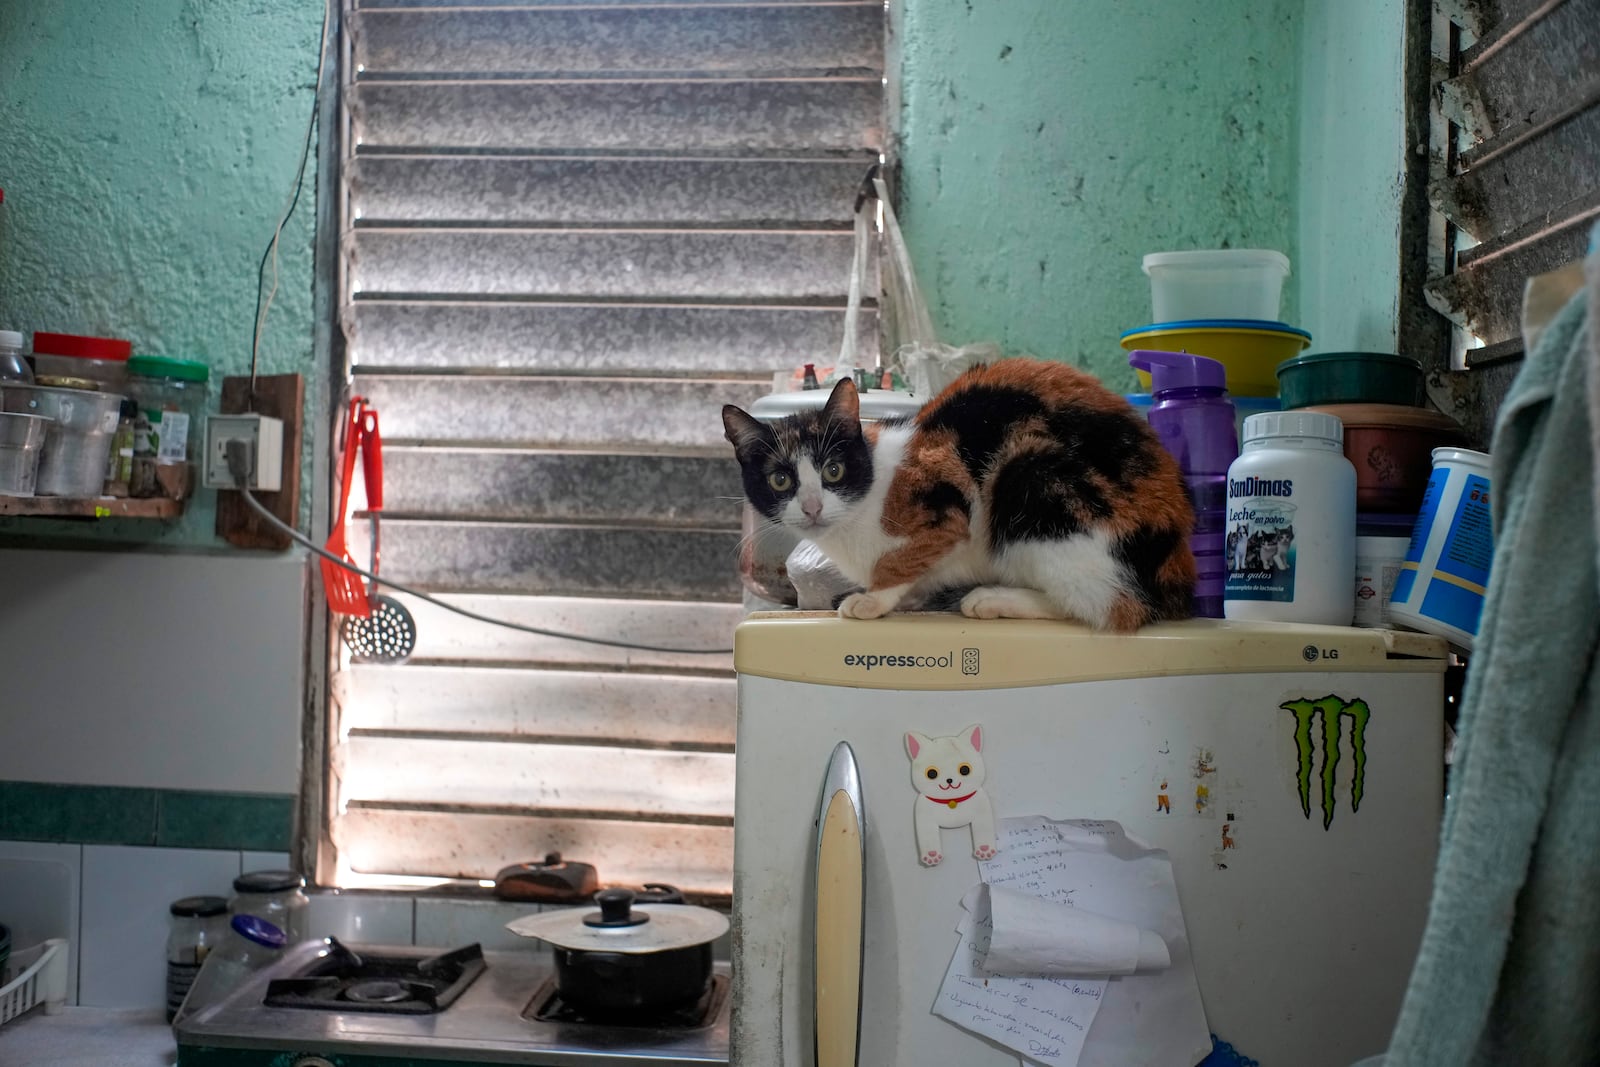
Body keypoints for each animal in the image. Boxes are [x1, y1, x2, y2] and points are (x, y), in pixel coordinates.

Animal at [720, 358, 1196, 630]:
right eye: (780, 481)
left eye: (833, 471)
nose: (813, 507)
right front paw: (909, 598)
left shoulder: (944, 499)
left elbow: (903, 559)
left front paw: (872, 600)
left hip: (1031, 476)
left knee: (1104, 606)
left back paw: (991, 600)